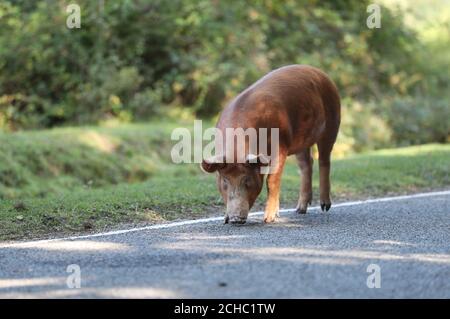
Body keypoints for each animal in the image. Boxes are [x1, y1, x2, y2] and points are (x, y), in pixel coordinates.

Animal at [202, 64, 340, 225]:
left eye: (247, 180)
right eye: (224, 180)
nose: (236, 219)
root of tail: (320, 73)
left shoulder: (281, 146)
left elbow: (271, 181)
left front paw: (269, 219)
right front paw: (225, 219)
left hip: (332, 122)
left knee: (324, 160)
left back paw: (325, 206)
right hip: (301, 139)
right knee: (307, 164)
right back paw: (299, 210)